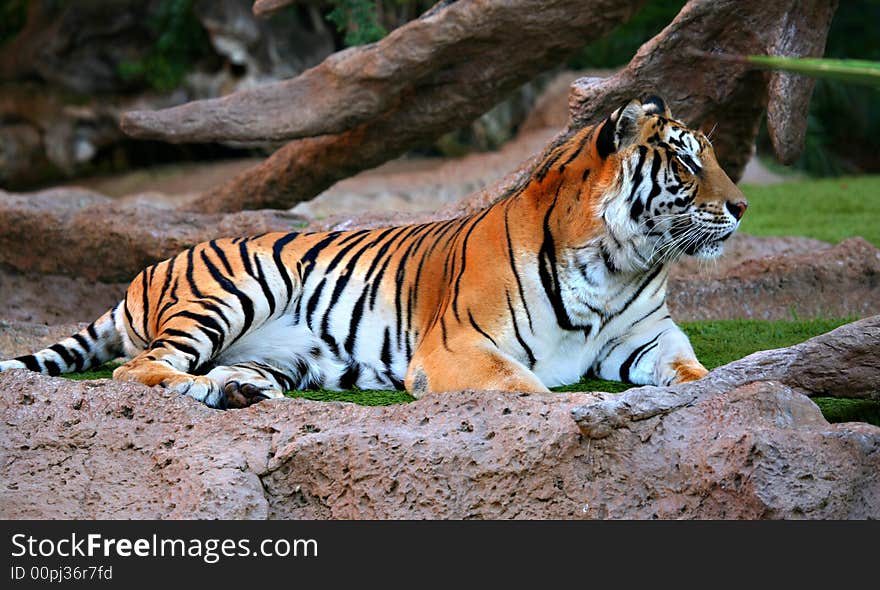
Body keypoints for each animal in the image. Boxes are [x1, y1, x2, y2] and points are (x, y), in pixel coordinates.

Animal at [0, 98, 744, 412]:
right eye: (686, 163)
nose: (740, 206)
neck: (617, 263)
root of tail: (146, 268)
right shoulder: (458, 348)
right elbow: (529, 389)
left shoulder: (647, 337)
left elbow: (693, 369)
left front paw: (720, 387)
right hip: (232, 292)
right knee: (136, 370)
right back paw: (209, 391)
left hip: (283, 355)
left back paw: (240, 390)